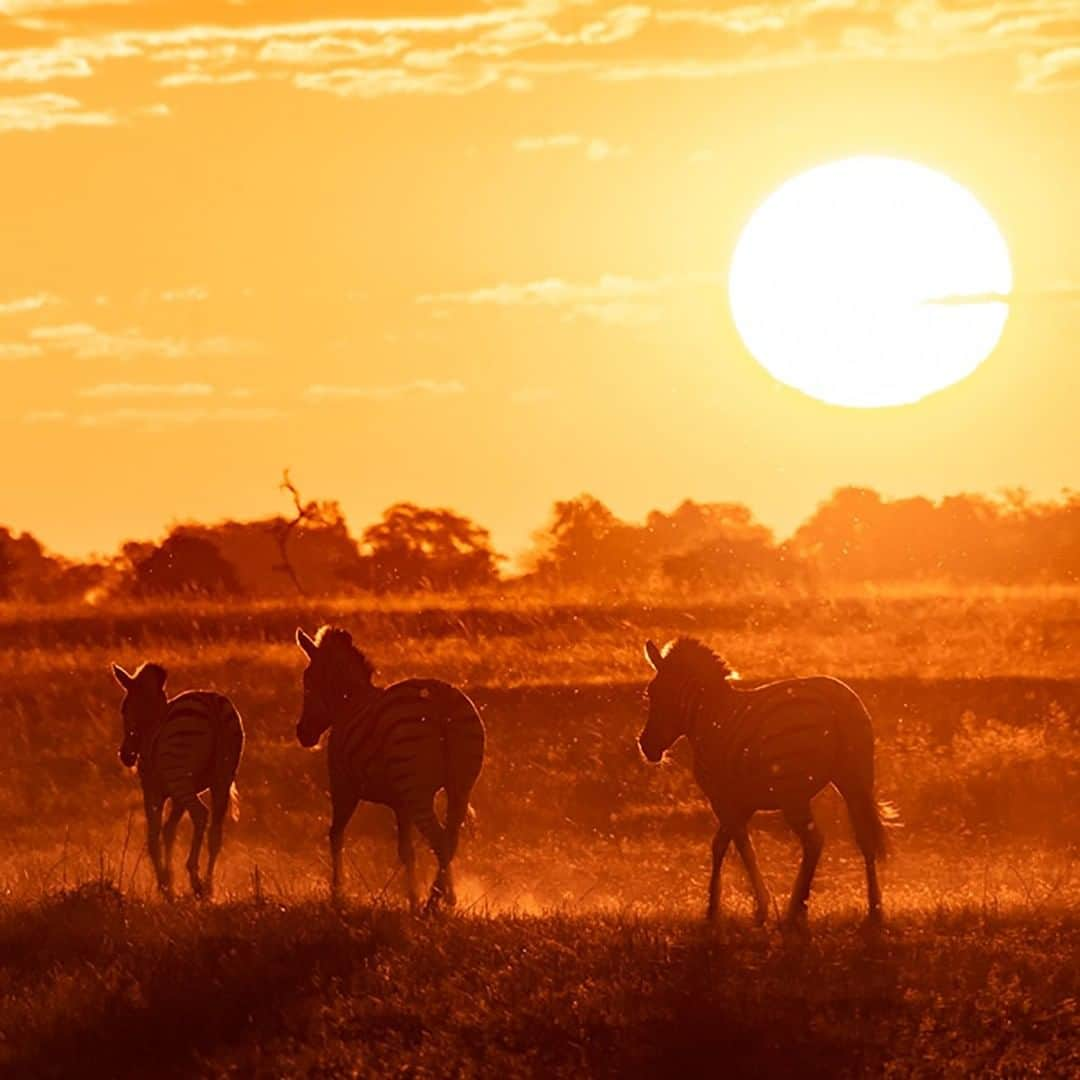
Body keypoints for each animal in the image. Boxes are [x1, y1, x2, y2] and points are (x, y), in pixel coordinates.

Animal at [110, 660, 244, 898]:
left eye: (123, 708)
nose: (125, 756)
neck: (153, 719)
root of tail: (212, 705)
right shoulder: (178, 793)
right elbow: (169, 831)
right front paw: (169, 880)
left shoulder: (154, 789)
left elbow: (154, 834)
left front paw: (164, 884)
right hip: (222, 777)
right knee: (215, 830)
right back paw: (208, 887)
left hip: (181, 773)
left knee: (200, 814)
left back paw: (195, 879)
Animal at [293, 626, 483, 911]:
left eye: (307, 682)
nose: (302, 734)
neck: (348, 703)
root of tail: (440, 702)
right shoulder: (401, 803)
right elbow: (407, 852)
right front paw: (412, 899)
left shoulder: (343, 787)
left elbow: (335, 835)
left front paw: (337, 894)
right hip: (460, 786)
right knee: (450, 841)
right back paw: (437, 899)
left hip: (417, 788)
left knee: (438, 839)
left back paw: (439, 902)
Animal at [635, 635, 889, 924]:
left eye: (652, 694)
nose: (645, 746)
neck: (709, 716)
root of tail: (835, 702)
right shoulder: (742, 803)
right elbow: (721, 844)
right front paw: (714, 907)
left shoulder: (723, 800)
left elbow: (740, 847)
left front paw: (756, 907)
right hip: (855, 781)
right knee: (865, 839)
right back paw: (874, 910)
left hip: (793, 795)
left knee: (814, 841)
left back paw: (795, 909)